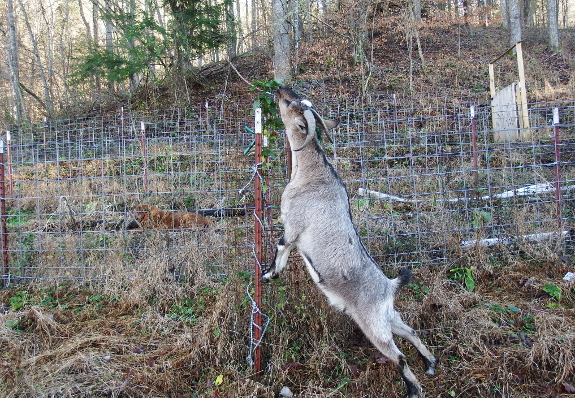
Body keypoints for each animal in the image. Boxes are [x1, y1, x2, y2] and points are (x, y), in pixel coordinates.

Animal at [260, 87, 436, 398]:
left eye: (290, 103)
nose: (280, 90)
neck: (311, 173)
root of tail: (389, 287)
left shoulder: (292, 225)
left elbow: (281, 246)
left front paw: (268, 275)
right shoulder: (295, 235)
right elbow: (287, 250)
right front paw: (275, 274)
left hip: (373, 325)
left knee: (399, 356)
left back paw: (413, 389)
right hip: (388, 318)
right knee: (412, 332)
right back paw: (429, 364)